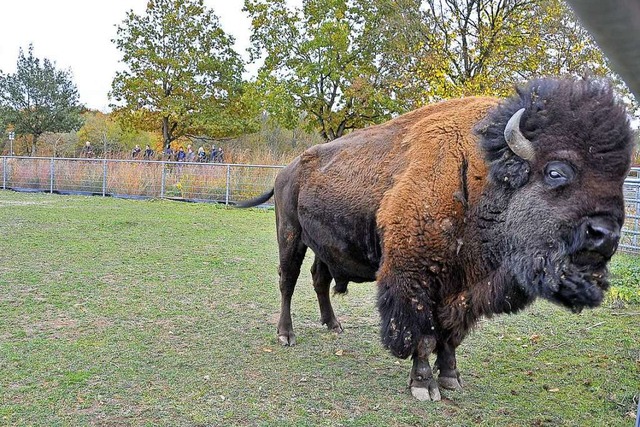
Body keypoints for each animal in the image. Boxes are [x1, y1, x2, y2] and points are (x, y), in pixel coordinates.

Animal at [240, 78, 636, 402]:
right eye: (556, 172)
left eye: (619, 177)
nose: (605, 235)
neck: (483, 176)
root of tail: (288, 170)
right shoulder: (415, 279)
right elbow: (424, 334)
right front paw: (423, 385)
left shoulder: (462, 286)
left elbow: (451, 333)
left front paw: (451, 378)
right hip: (290, 235)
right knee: (288, 281)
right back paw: (286, 335)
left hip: (323, 244)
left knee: (319, 279)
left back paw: (333, 325)